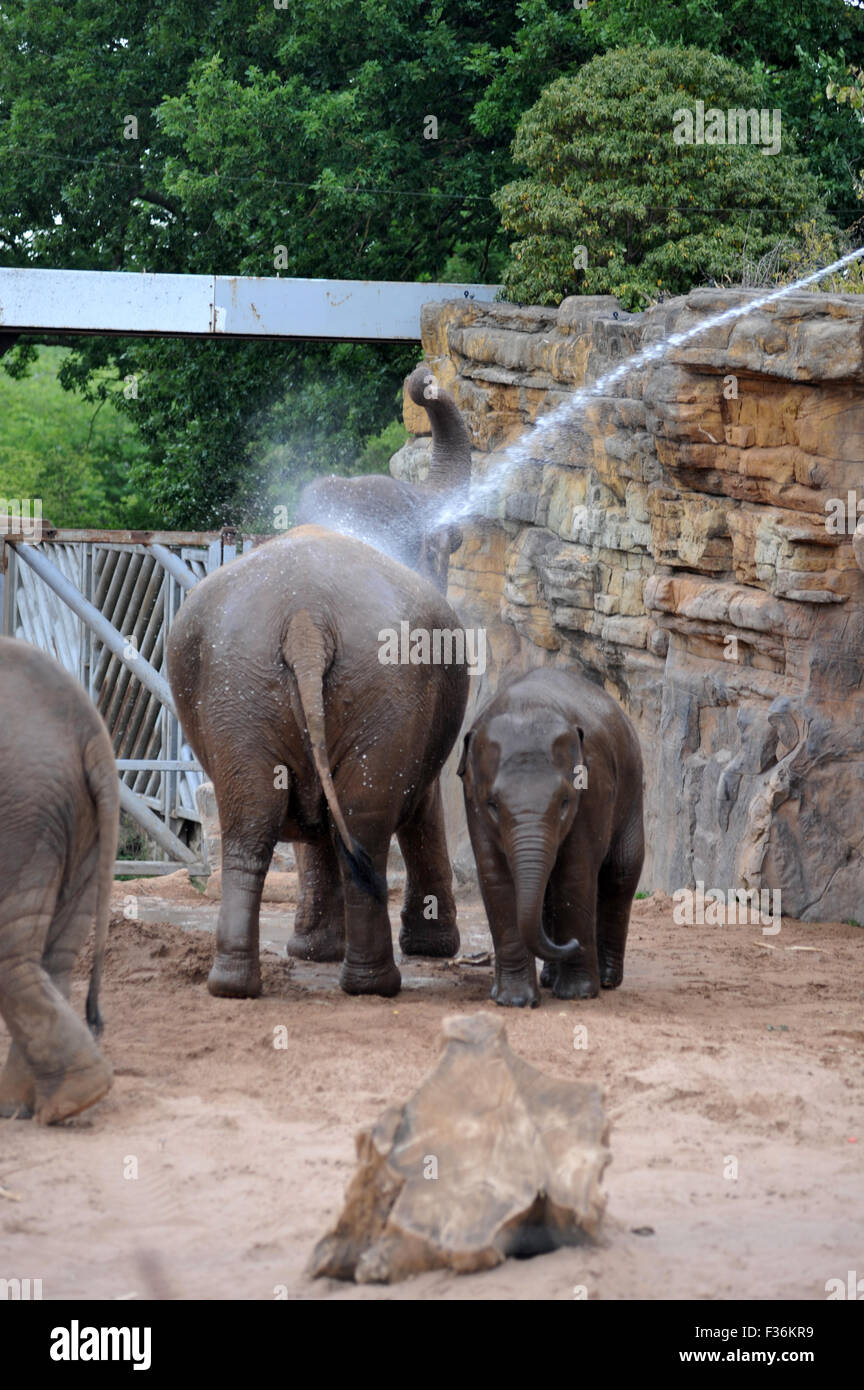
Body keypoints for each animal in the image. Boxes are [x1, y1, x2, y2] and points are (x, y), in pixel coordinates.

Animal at [165, 522, 469, 1000]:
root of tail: (306, 620)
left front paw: (315, 952)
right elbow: (421, 809)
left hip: (247, 690)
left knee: (254, 821)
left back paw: (234, 985)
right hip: (367, 686)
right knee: (360, 825)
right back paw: (372, 985)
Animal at [461, 667, 644, 1006]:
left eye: (565, 802)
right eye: (492, 805)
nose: (572, 943)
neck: (526, 705)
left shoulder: (594, 789)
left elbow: (575, 871)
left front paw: (578, 995)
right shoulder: (472, 801)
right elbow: (495, 877)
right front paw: (514, 1001)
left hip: (633, 785)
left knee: (620, 873)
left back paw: (607, 979)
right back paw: (549, 979)